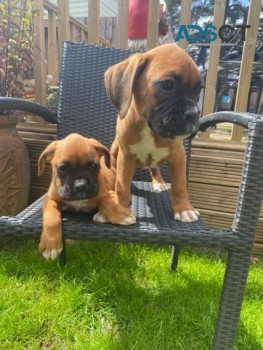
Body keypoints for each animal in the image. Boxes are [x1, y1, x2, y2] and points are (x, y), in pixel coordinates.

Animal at [104, 43, 202, 223]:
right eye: (167, 85)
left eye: (199, 90)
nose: (194, 114)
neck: (150, 128)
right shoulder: (125, 157)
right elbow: (122, 184)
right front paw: (120, 209)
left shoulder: (178, 156)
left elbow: (180, 184)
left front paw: (184, 209)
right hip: (115, 150)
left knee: (154, 168)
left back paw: (158, 182)